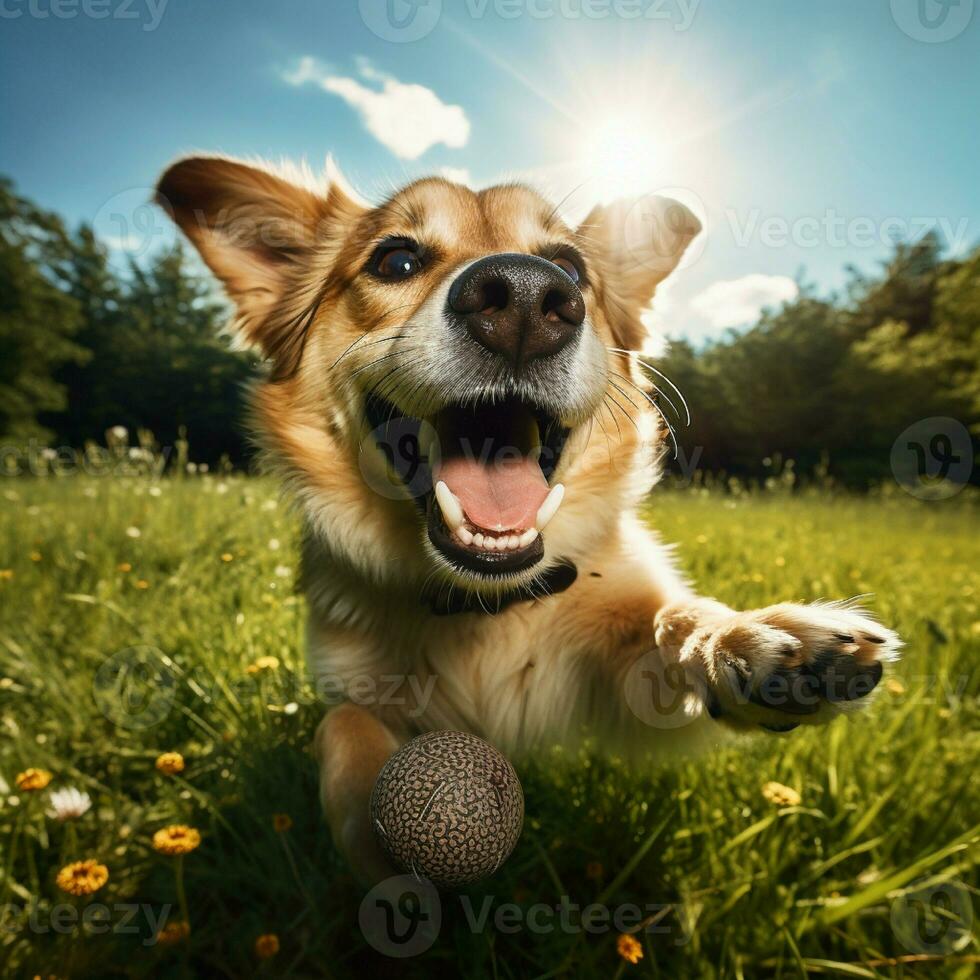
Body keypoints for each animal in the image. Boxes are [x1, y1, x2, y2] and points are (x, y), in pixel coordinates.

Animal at [157, 157, 900, 884]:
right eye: (396, 260)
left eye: (569, 267)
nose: (523, 298)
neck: (484, 608)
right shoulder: (348, 679)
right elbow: (341, 723)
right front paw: (381, 829)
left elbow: (673, 619)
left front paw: (747, 638)